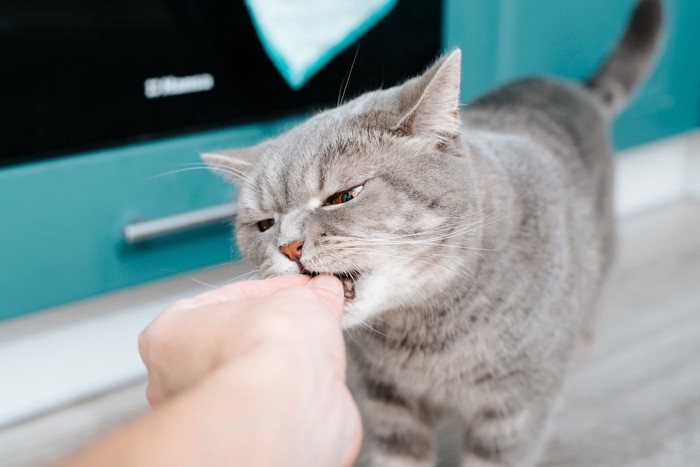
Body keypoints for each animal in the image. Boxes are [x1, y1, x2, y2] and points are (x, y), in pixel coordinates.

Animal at [201, 1, 660, 466]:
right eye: (265, 224)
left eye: (343, 197)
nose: (288, 247)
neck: (424, 333)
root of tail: (565, 86)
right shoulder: (391, 409)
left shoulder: (512, 417)